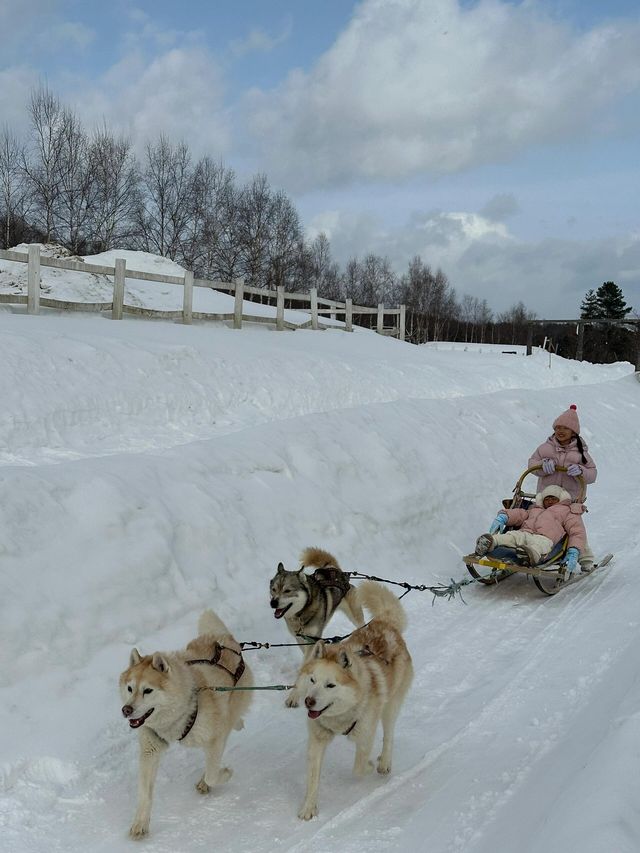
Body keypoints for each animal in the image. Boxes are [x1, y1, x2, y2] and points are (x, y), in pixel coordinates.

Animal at [119, 604, 251, 840]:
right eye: (130, 688)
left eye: (147, 690)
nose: (126, 710)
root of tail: (224, 639)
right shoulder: (150, 749)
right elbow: (144, 793)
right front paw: (140, 823)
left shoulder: (214, 738)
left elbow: (212, 774)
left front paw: (222, 775)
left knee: (231, 722)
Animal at [292, 580, 412, 820]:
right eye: (312, 679)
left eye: (330, 685)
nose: (309, 701)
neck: (340, 718)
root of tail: (384, 623)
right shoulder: (317, 740)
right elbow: (313, 778)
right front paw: (309, 807)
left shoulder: (365, 735)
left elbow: (358, 767)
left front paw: (369, 765)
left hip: (391, 706)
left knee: (389, 734)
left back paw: (384, 762)